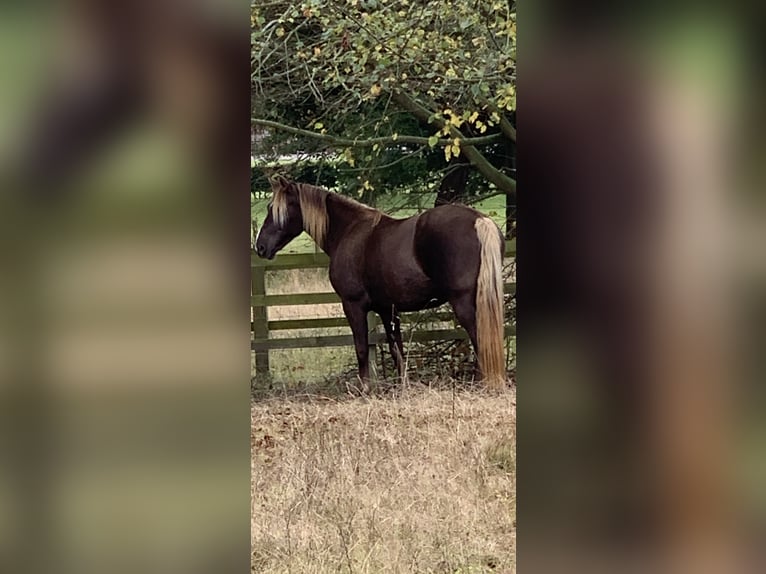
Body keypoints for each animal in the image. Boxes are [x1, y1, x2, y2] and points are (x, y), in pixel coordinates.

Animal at [258, 177, 510, 392]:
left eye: (275, 209)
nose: (260, 246)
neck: (349, 231)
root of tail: (480, 220)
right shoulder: (387, 309)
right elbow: (396, 349)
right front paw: (403, 387)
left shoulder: (353, 305)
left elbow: (361, 348)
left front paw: (365, 389)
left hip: (464, 303)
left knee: (480, 338)